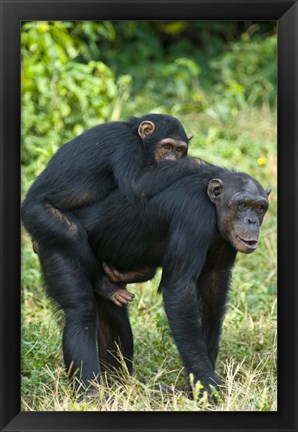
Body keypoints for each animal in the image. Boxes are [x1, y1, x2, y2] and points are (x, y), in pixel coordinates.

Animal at [21, 115, 193, 286]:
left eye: (179, 149)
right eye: (167, 147)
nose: (172, 159)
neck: (141, 140)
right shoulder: (127, 145)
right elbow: (137, 184)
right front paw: (198, 164)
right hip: (36, 214)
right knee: (72, 235)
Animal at [35, 159, 270, 394]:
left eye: (260, 208)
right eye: (242, 204)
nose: (251, 221)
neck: (214, 207)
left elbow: (214, 285)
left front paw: (197, 385)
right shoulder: (194, 213)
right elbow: (180, 288)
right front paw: (206, 383)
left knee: (112, 316)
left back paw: (119, 385)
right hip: (56, 241)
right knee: (80, 312)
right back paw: (91, 393)